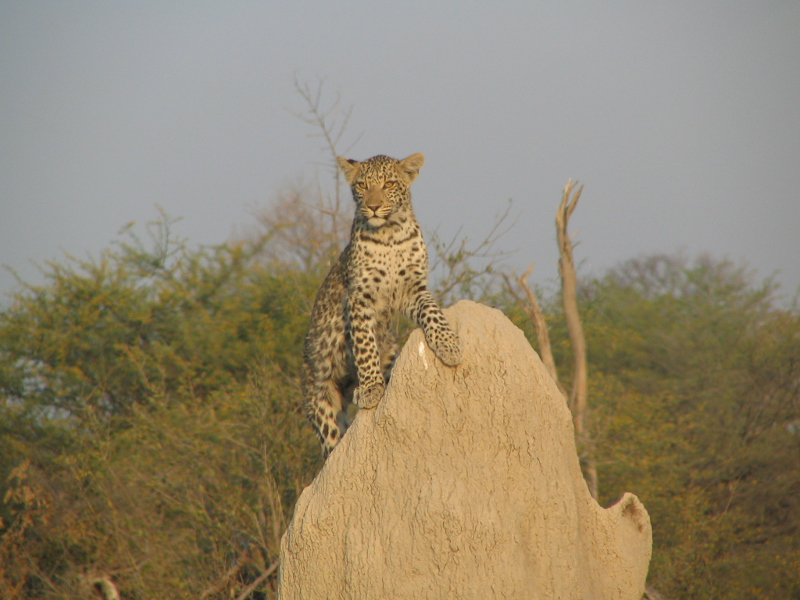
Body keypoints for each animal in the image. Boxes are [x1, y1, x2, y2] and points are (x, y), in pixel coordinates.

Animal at [302, 152, 463, 458]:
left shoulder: (413, 289)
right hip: (321, 403)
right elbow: (365, 346)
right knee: (331, 446)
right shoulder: (358, 297)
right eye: (362, 185)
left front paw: (448, 345)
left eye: (388, 184)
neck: (389, 234)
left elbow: (432, 311)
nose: (373, 207)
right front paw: (371, 388)